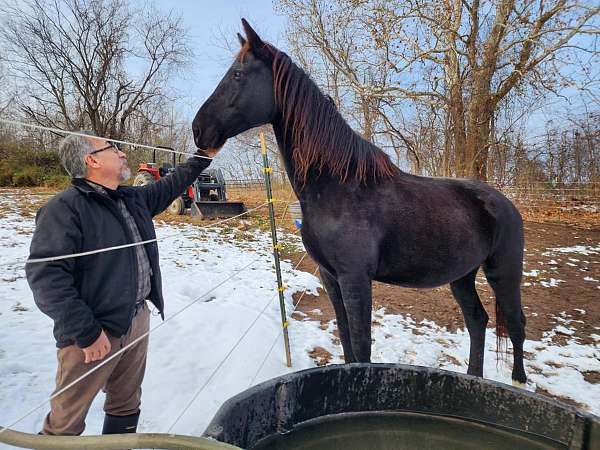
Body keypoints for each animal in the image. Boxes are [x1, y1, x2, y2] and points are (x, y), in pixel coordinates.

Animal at [192, 19, 524, 384]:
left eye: (238, 74)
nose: (199, 129)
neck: (339, 187)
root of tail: (504, 202)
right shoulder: (330, 276)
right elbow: (346, 337)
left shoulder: (355, 279)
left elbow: (362, 345)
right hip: (462, 276)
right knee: (477, 321)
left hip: (504, 273)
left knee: (515, 324)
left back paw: (518, 381)